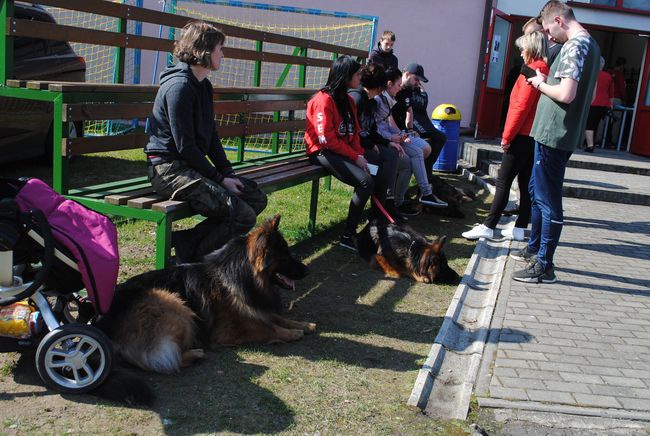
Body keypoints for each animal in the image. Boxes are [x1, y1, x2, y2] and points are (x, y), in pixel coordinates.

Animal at [97, 216, 316, 372]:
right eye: (285, 256)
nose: (307, 271)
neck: (236, 276)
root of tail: (103, 325)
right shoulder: (230, 331)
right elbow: (269, 328)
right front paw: (291, 333)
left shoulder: (257, 307)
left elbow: (278, 318)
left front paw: (304, 325)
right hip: (174, 305)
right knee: (164, 361)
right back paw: (194, 354)